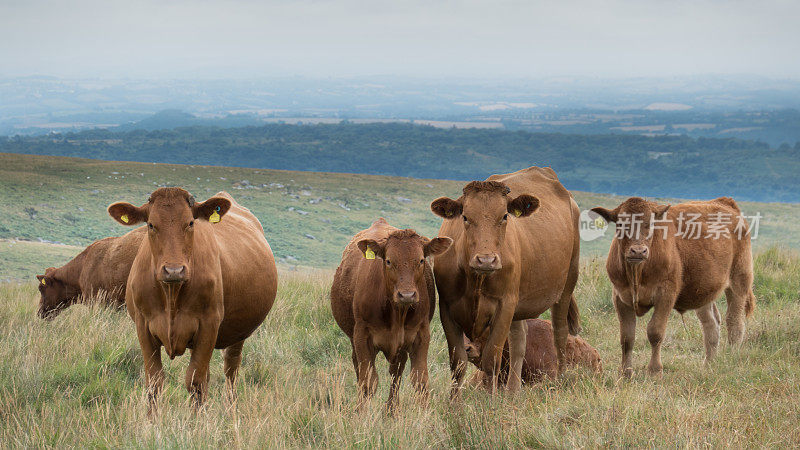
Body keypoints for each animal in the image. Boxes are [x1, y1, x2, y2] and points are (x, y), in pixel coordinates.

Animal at [332, 218, 454, 412]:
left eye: (421, 260)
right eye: (388, 261)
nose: (407, 295)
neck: (397, 313)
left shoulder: (421, 335)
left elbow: (420, 380)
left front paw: (424, 412)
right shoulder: (361, 336)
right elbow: (368, 381)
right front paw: (361, 413)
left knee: (396, 373)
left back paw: (392, 410)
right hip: (353, 338)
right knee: (359, 369)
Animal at [432, 167, 580, 396]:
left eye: (504, 216)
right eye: (465, 217)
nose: (486, 260)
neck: (476, 280)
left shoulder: (504, 306)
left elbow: (491, 360)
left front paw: (490, 400)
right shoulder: (447, 308)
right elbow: (458, 363)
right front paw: (454, 402)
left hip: (566, 285)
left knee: (560, 331)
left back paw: (561, 379)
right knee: (520, 339)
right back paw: (513, 391)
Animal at [592, 197, 756, 376]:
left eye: (650, 224)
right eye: (621, 224)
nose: (638, 251)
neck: (637, 273)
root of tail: (724, 202)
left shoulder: (666, 295)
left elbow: (655, 332)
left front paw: (655, 371)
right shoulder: (620, 297)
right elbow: (627, 337)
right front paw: (625, 373)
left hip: (739, 281)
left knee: (734, 322)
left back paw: (731, 358)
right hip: (703, 290)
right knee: (711, 324)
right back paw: (709, 364)